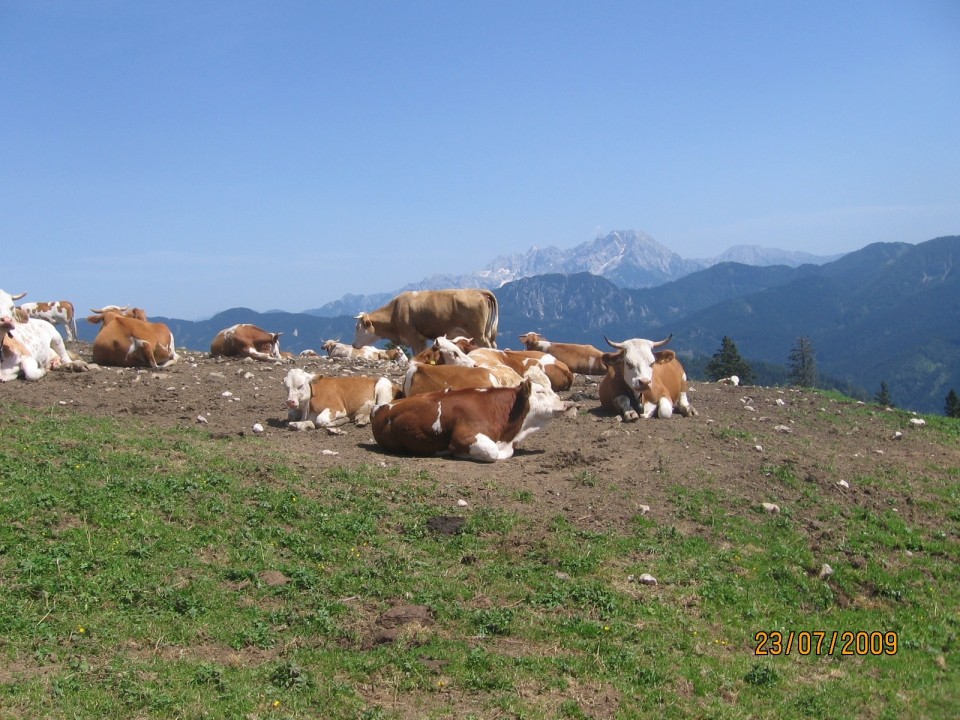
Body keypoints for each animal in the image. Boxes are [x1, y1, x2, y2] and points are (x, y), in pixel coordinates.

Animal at [354, 286, 502, 354]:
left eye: (358, 327)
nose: (354, 345)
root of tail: (478, 291)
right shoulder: (422, 338)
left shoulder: (413, 336)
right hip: (486, 333)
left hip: (478, 333)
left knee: (488, 346)